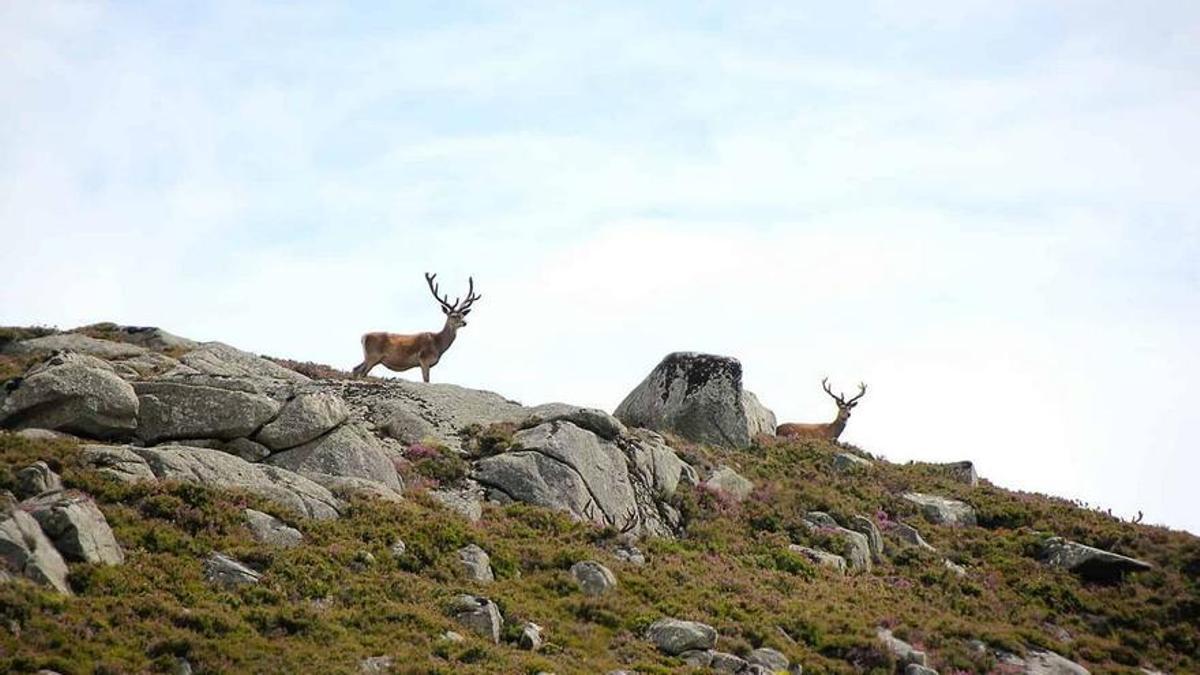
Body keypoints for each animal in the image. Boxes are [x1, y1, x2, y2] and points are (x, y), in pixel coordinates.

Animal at [350, 271, 480, 379]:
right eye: (453, 315)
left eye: (462, 315)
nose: (464, 322)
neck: (438, 345)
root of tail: (363, 337)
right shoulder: (424, 359)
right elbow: (426, 380)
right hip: (373, 356)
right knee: (361, 372)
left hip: (370, 357)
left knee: (355, 369)